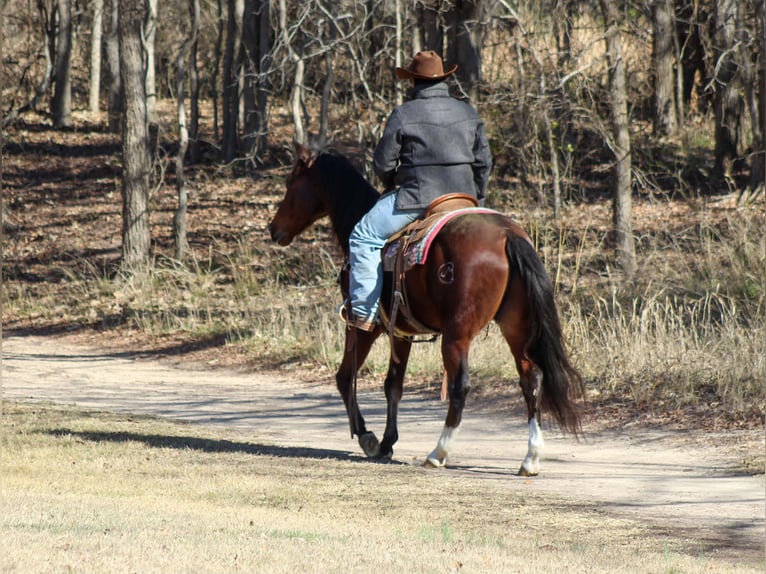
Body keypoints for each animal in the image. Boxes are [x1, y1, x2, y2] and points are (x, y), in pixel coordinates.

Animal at [268, 142, 584, 476]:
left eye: (291, 183)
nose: (273, 228)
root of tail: (507, 236)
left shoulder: (364, 326)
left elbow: (345, 377)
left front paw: (367, 436)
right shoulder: (402, 333)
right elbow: (393, 385)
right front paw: (387, 442)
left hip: (457, 334)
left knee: (460, 387)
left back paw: (438, 452)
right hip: (515, 327)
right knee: (531, 379)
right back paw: (531, 458)